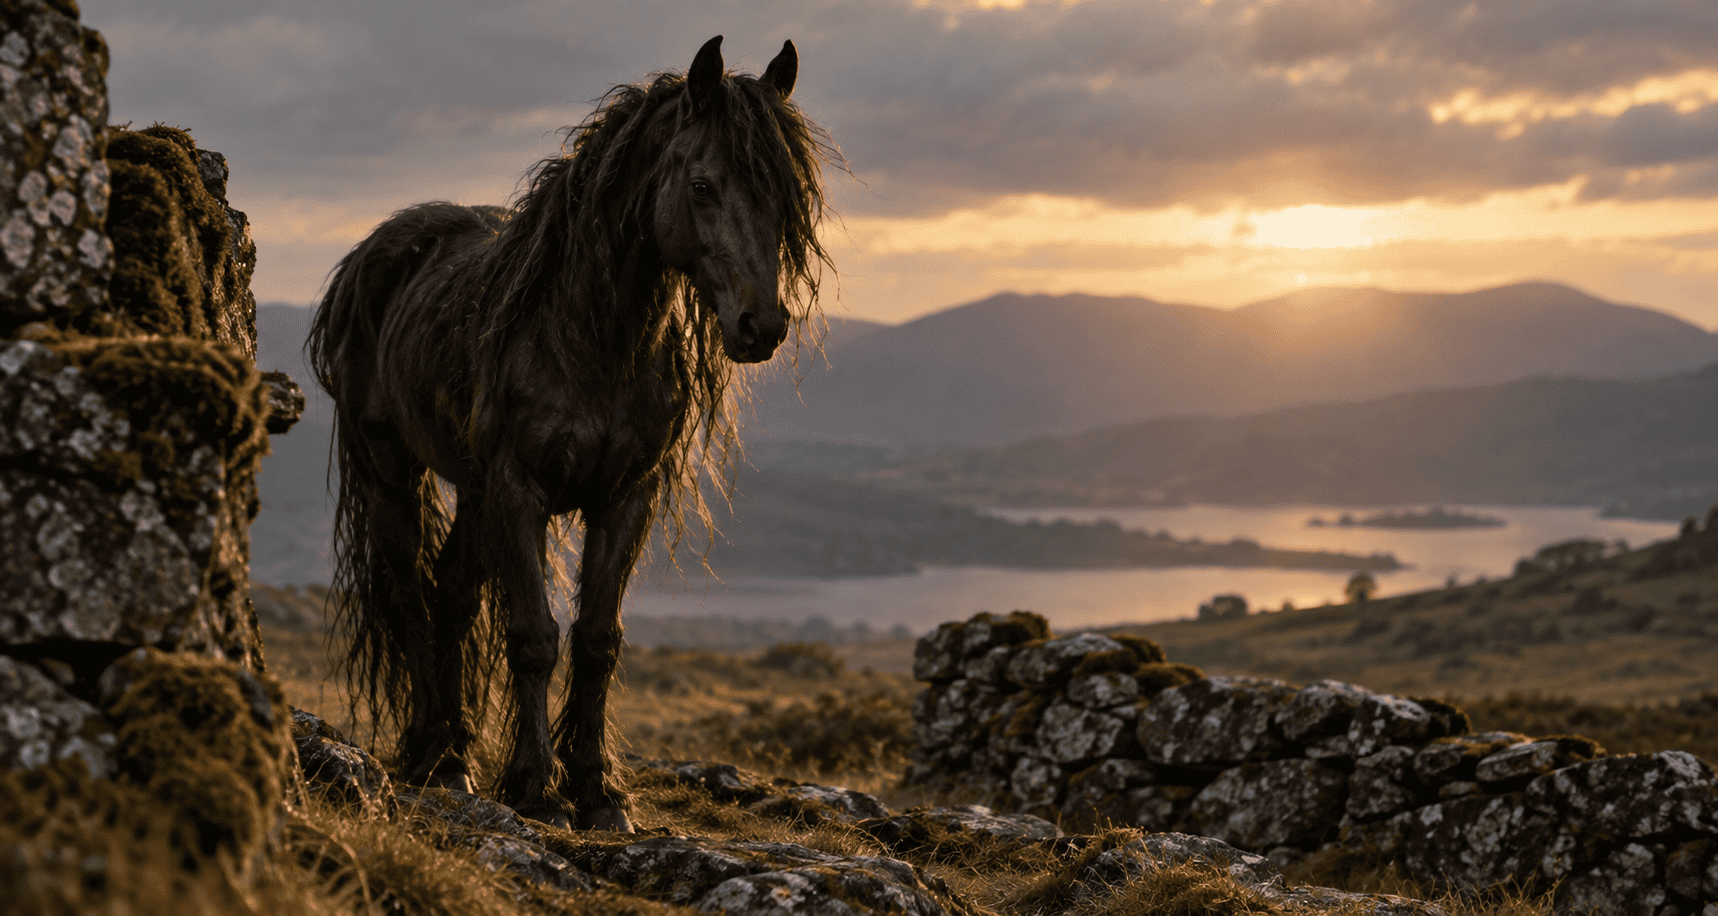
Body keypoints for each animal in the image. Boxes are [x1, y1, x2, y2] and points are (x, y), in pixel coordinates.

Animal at [306, 36, 833, 830]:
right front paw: (535, 788)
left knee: (451, 598)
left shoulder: (624, 495)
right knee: (406, 597)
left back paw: (458, 755)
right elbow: (532, 637)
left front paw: (597, 791)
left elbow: (596, 640)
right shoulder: (518, 489)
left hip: (473, 493)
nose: (759, 326)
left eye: (785, 195)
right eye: (702, 185)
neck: (590, 341)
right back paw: (434, 754)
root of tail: (374, 251)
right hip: (390, 469)